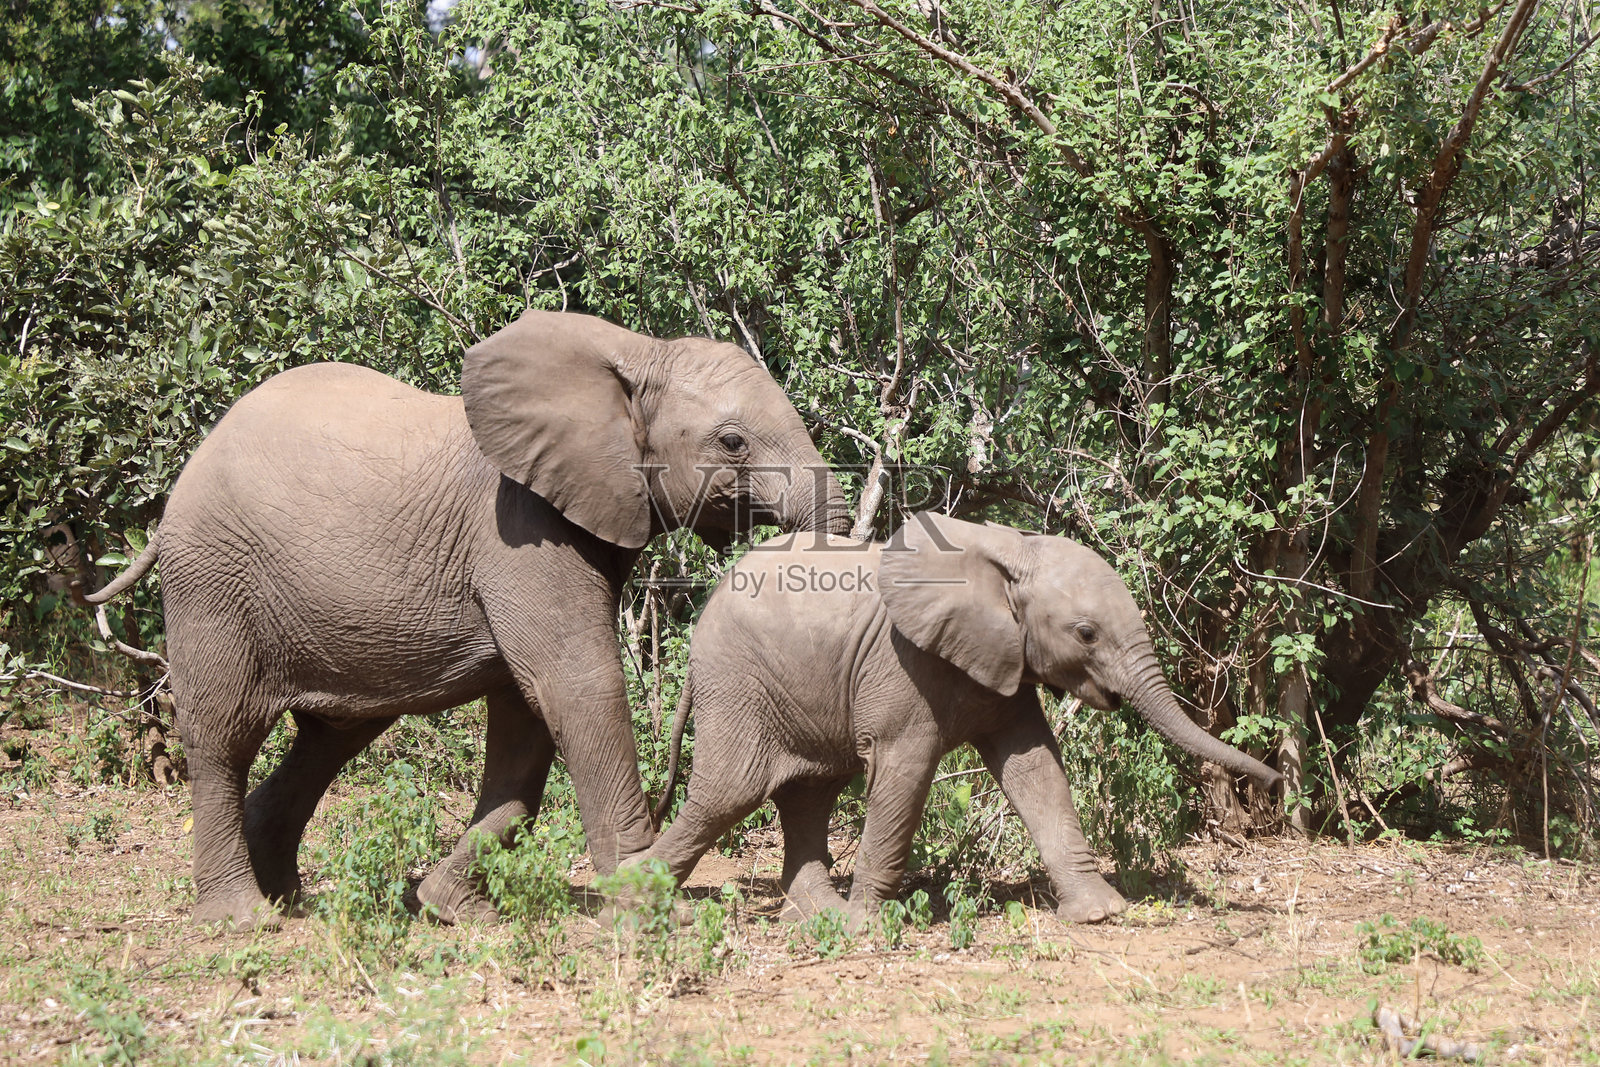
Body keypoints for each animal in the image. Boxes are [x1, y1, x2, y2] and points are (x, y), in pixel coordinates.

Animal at [80, 310, 849, 928]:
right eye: (732, 442)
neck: (634, 354)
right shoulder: (519, 532)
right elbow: (578, 687)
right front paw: (650, 910)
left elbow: (526, 725)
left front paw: (453, 911)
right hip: (213, 579)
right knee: (223, 735)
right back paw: (242, 918)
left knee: (331, 735)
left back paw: (288, 897)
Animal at [646, 512, 1281, 925]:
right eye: (1086, 633)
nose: (1276, 779)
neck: (1011, 555)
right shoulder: (902, 666)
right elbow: (903, 773)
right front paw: (868, 929)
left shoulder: (1004, 660)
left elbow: (1036, 769)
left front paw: (1099, 914)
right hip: (739, 685)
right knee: (729, 793)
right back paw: (643, 901)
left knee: (808, 793)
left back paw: (818, 917)